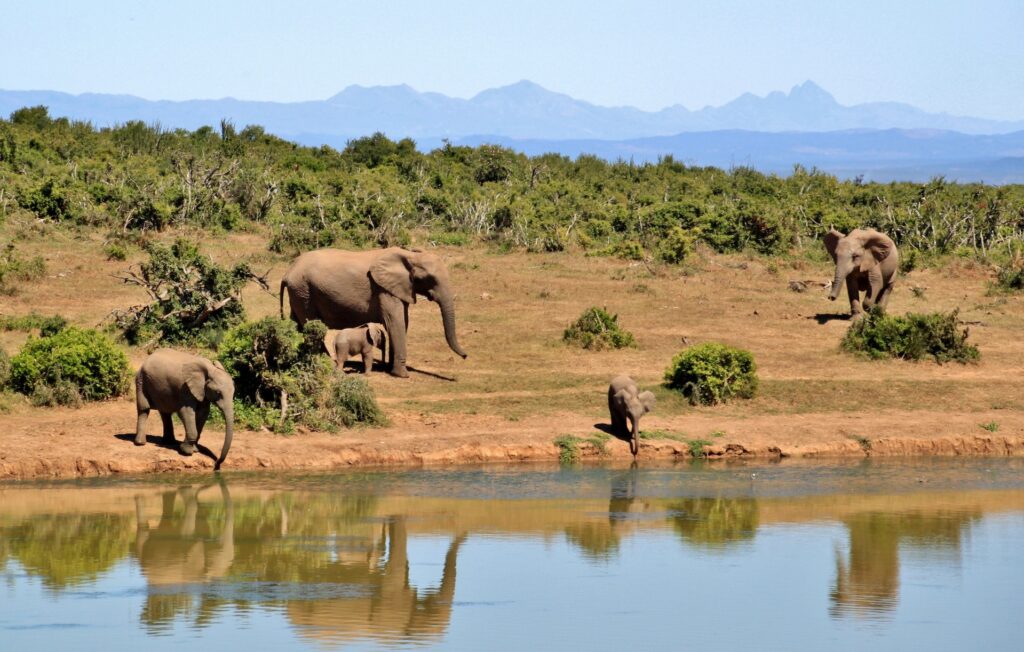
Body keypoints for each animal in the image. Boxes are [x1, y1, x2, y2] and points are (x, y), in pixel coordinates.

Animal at [282, 245, 468, 378]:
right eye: (430, 279)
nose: (466, 356)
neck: (409, 255)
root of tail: (288, 271)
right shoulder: (383, 289)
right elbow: (395, 322)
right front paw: (402, 375)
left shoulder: (398, 288)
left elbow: (402, 322)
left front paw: (391, 369)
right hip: (303, 290)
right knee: (311, 325)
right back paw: (326, 362)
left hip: (299, 292)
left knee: (297, 324)